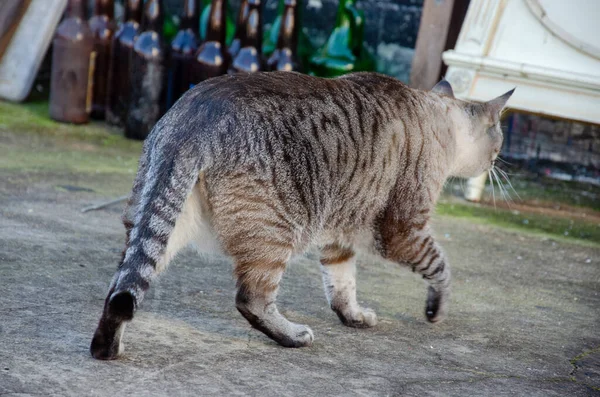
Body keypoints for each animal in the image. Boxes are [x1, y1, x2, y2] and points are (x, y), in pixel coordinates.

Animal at [91, 71, 512, 358]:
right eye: (498, 142)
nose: (496, 163)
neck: (433, 112)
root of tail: (192, 113)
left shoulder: (340, 233)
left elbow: (342, 284)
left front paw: (353, 316)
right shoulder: (403, 229)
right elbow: (440, 266)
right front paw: (436, 309)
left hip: (162, 225)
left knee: (120, 286)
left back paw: (106, 347)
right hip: (278, 233)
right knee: (251, 299)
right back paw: (292, 336)